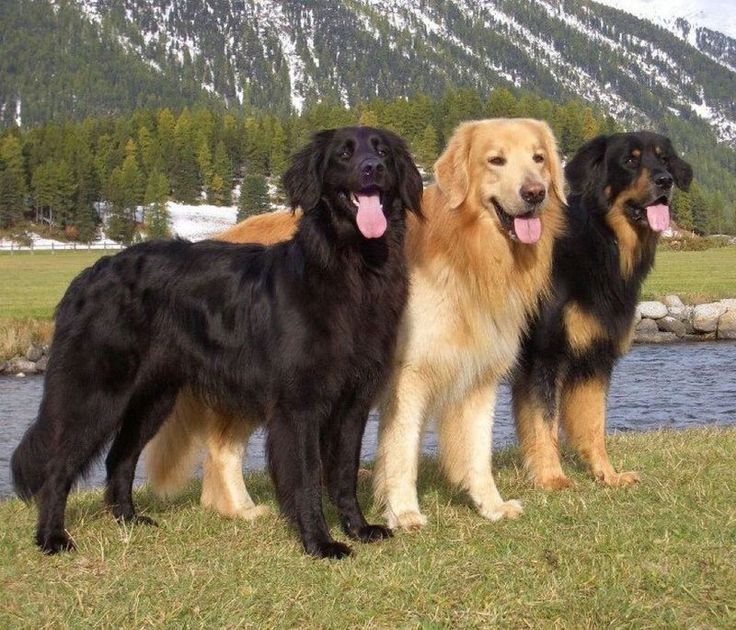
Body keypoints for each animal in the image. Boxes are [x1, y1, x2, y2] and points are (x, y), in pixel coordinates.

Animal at [11, 126, 422, 560]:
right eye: (344, 154)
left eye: (382, 151)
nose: (372, 168)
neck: (351, 267)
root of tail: (89, 274)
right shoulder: (299, 407)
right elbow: (308, 478)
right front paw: (319, 543)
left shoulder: (353, 403)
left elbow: (343, 473)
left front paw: (358, 529)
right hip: (96, 395)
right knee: (57, 467)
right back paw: (52, 538)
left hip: (153, 399)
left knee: (118, 458)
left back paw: (128, 520)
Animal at [508, 131, 692, 492]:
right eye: (630, 161)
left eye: (664, 159)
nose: (666, 181)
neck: (603, 243)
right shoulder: (543, 355)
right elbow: (543, 421)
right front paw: (551, 477)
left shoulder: (595, 358)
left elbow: (594, 423)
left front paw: (607, 475)